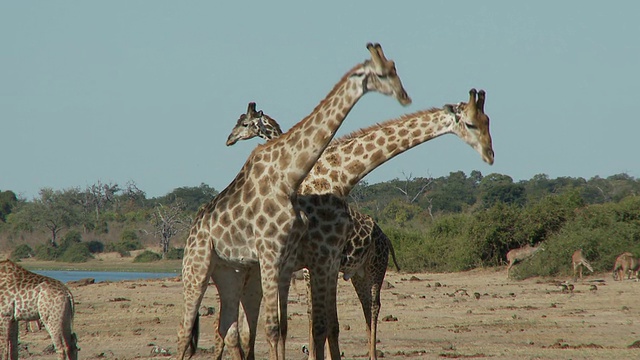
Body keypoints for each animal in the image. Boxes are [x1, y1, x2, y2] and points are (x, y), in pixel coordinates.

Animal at [226, 88, 496, 360]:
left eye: (245, 123)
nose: (229, 139)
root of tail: (387, 240)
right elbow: (301, 320)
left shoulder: (314, 265)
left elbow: (317, 320)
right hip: (359, 273)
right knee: (364, 308)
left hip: (375, 268)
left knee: (373, 307)